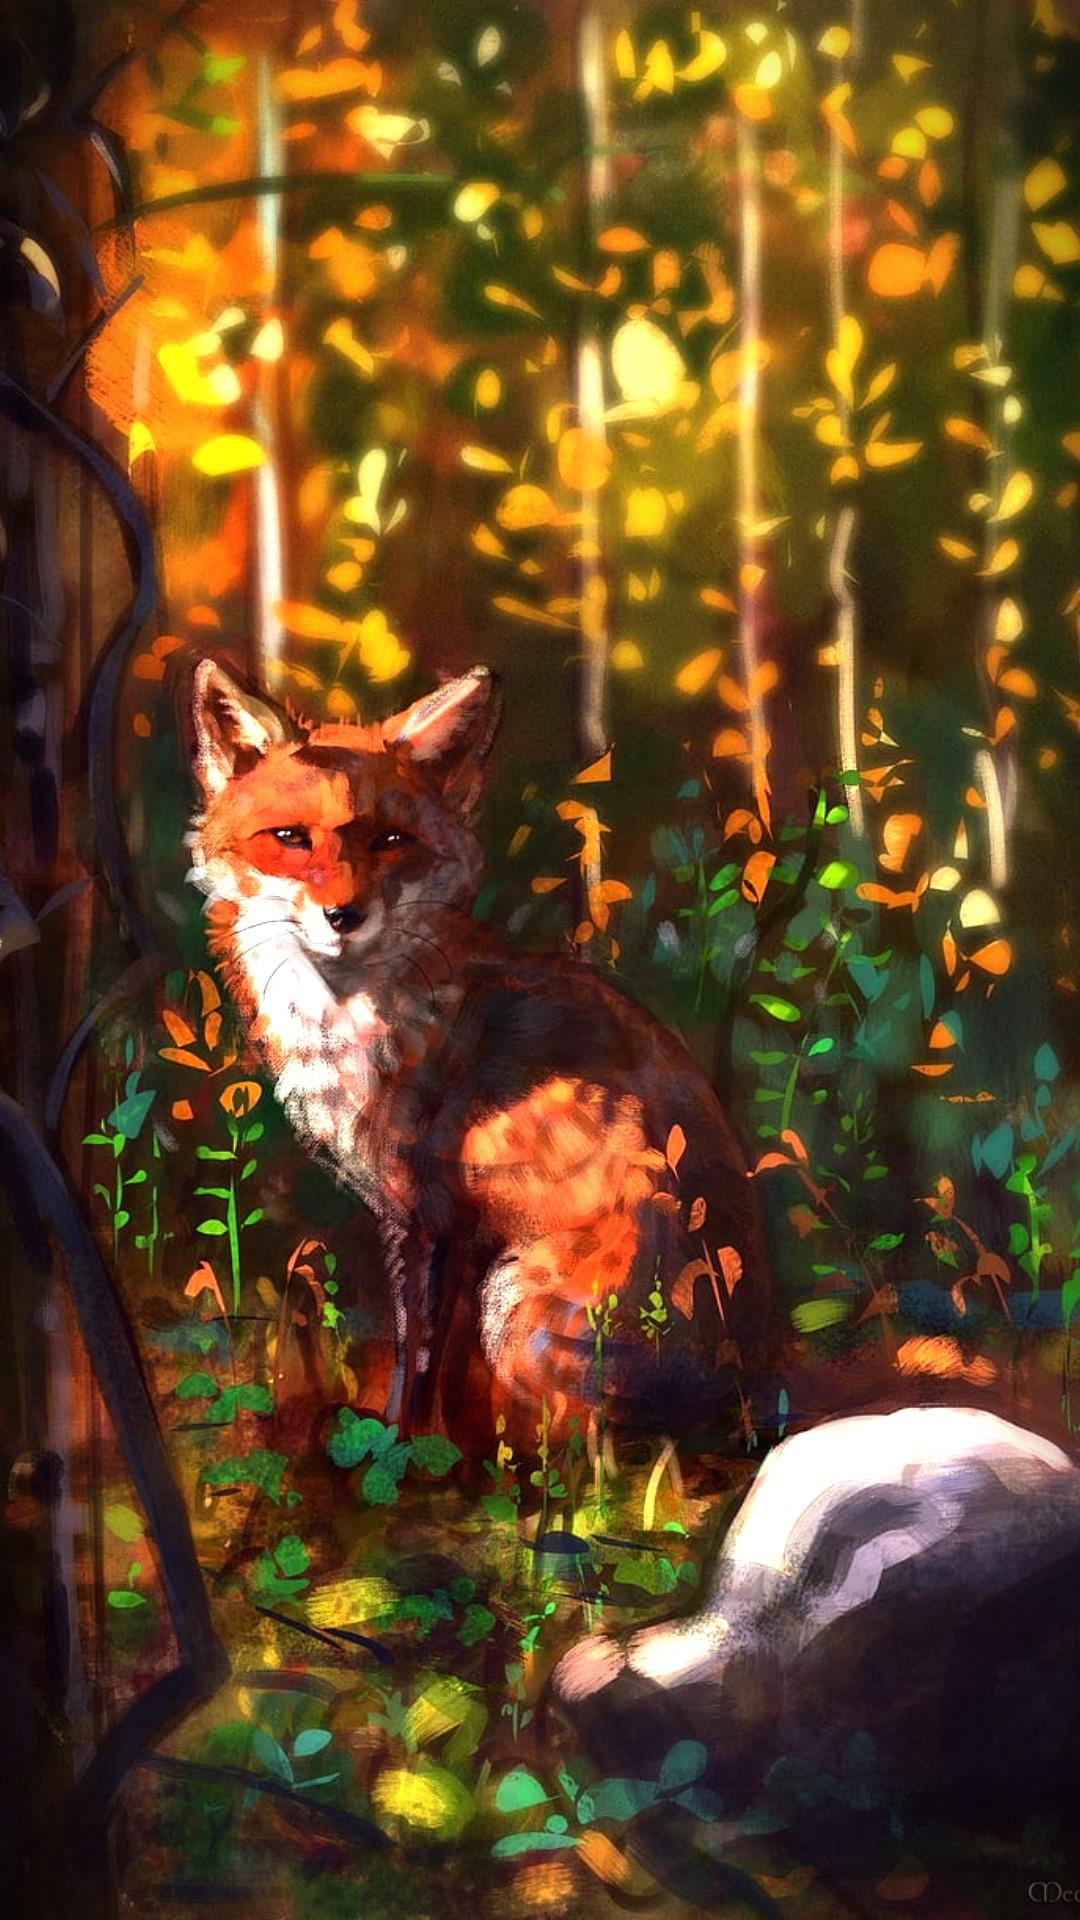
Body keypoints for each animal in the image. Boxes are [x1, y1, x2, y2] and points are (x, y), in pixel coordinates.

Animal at [189, 657, 769, 1443]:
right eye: (290, 837)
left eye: (391, 841)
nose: (345, 915)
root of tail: (753, 1387)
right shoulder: (441, 1228)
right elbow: (437, 1359)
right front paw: (427, 1441)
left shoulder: (428, 1215)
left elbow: (418, 1355)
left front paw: (400, 1447)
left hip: (518, 1297)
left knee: (597, 1446)